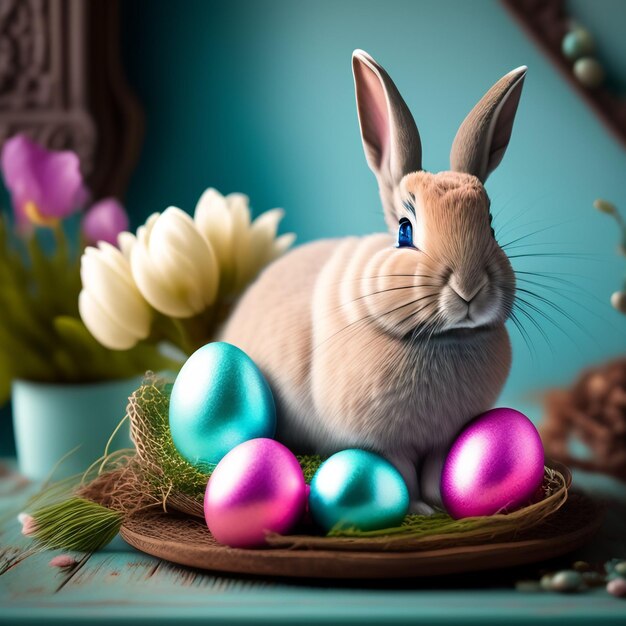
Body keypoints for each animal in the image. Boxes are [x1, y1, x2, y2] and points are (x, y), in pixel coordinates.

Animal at [219, 51, 520, 512]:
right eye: (404, 231)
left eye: (490, 226)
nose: (469, 288)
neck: (441, 337)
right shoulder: (383, 444)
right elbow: (401, 476)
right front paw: (416, 509)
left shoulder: (443, 440)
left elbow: (436, 473)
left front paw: (442, 504)